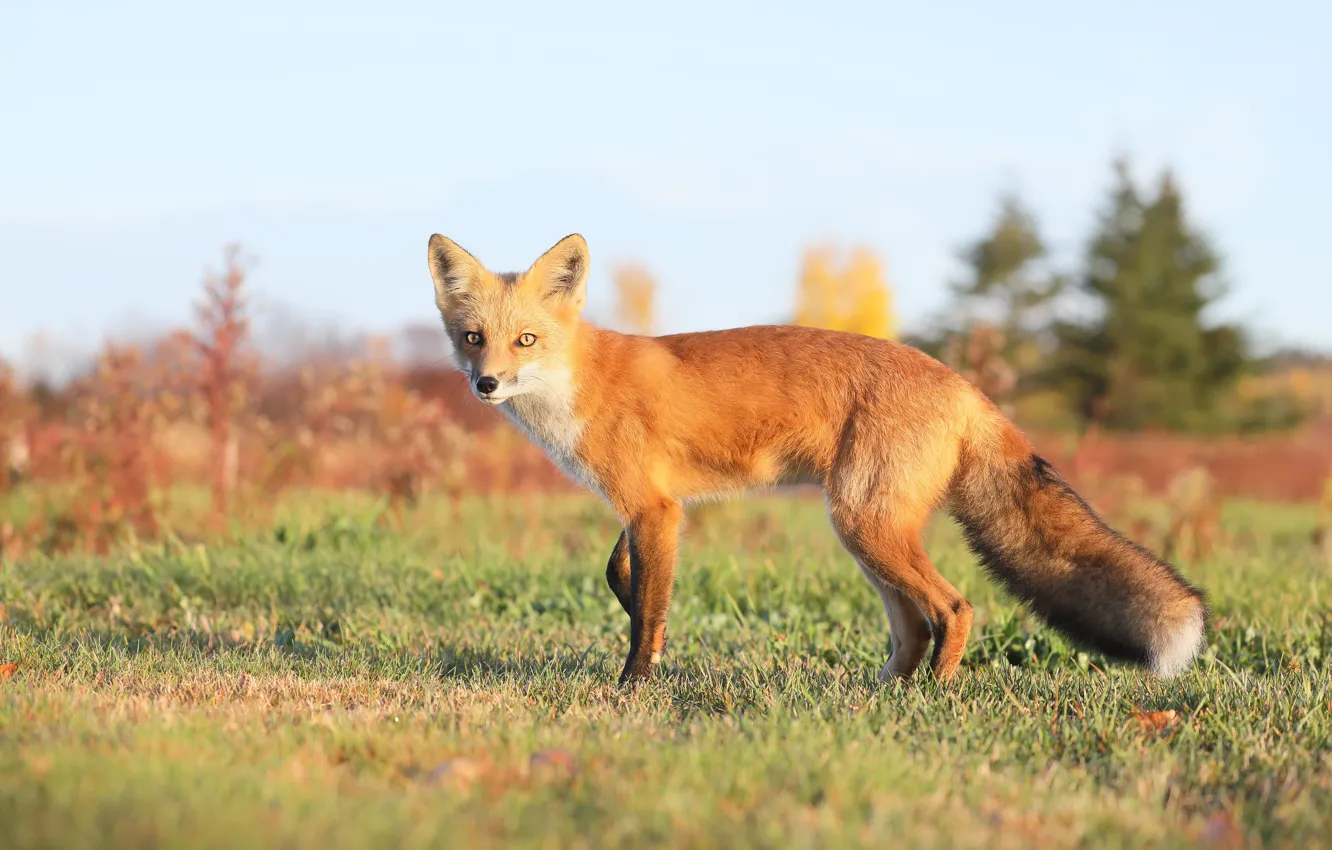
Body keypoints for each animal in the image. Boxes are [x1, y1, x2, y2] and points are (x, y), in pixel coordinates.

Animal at [427, 232, 1208, 686]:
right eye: (472, 337)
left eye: (526, 340)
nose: (485, 384)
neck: (579, 383)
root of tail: (964, 385)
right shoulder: (650, 506)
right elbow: (622, 576)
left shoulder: (655, 508)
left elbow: (646, 610)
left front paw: (634, 686)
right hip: (865, 533)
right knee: (914, 624)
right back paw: (886, 694)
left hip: (866, 524)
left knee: (954, 609)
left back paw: (935, 696)